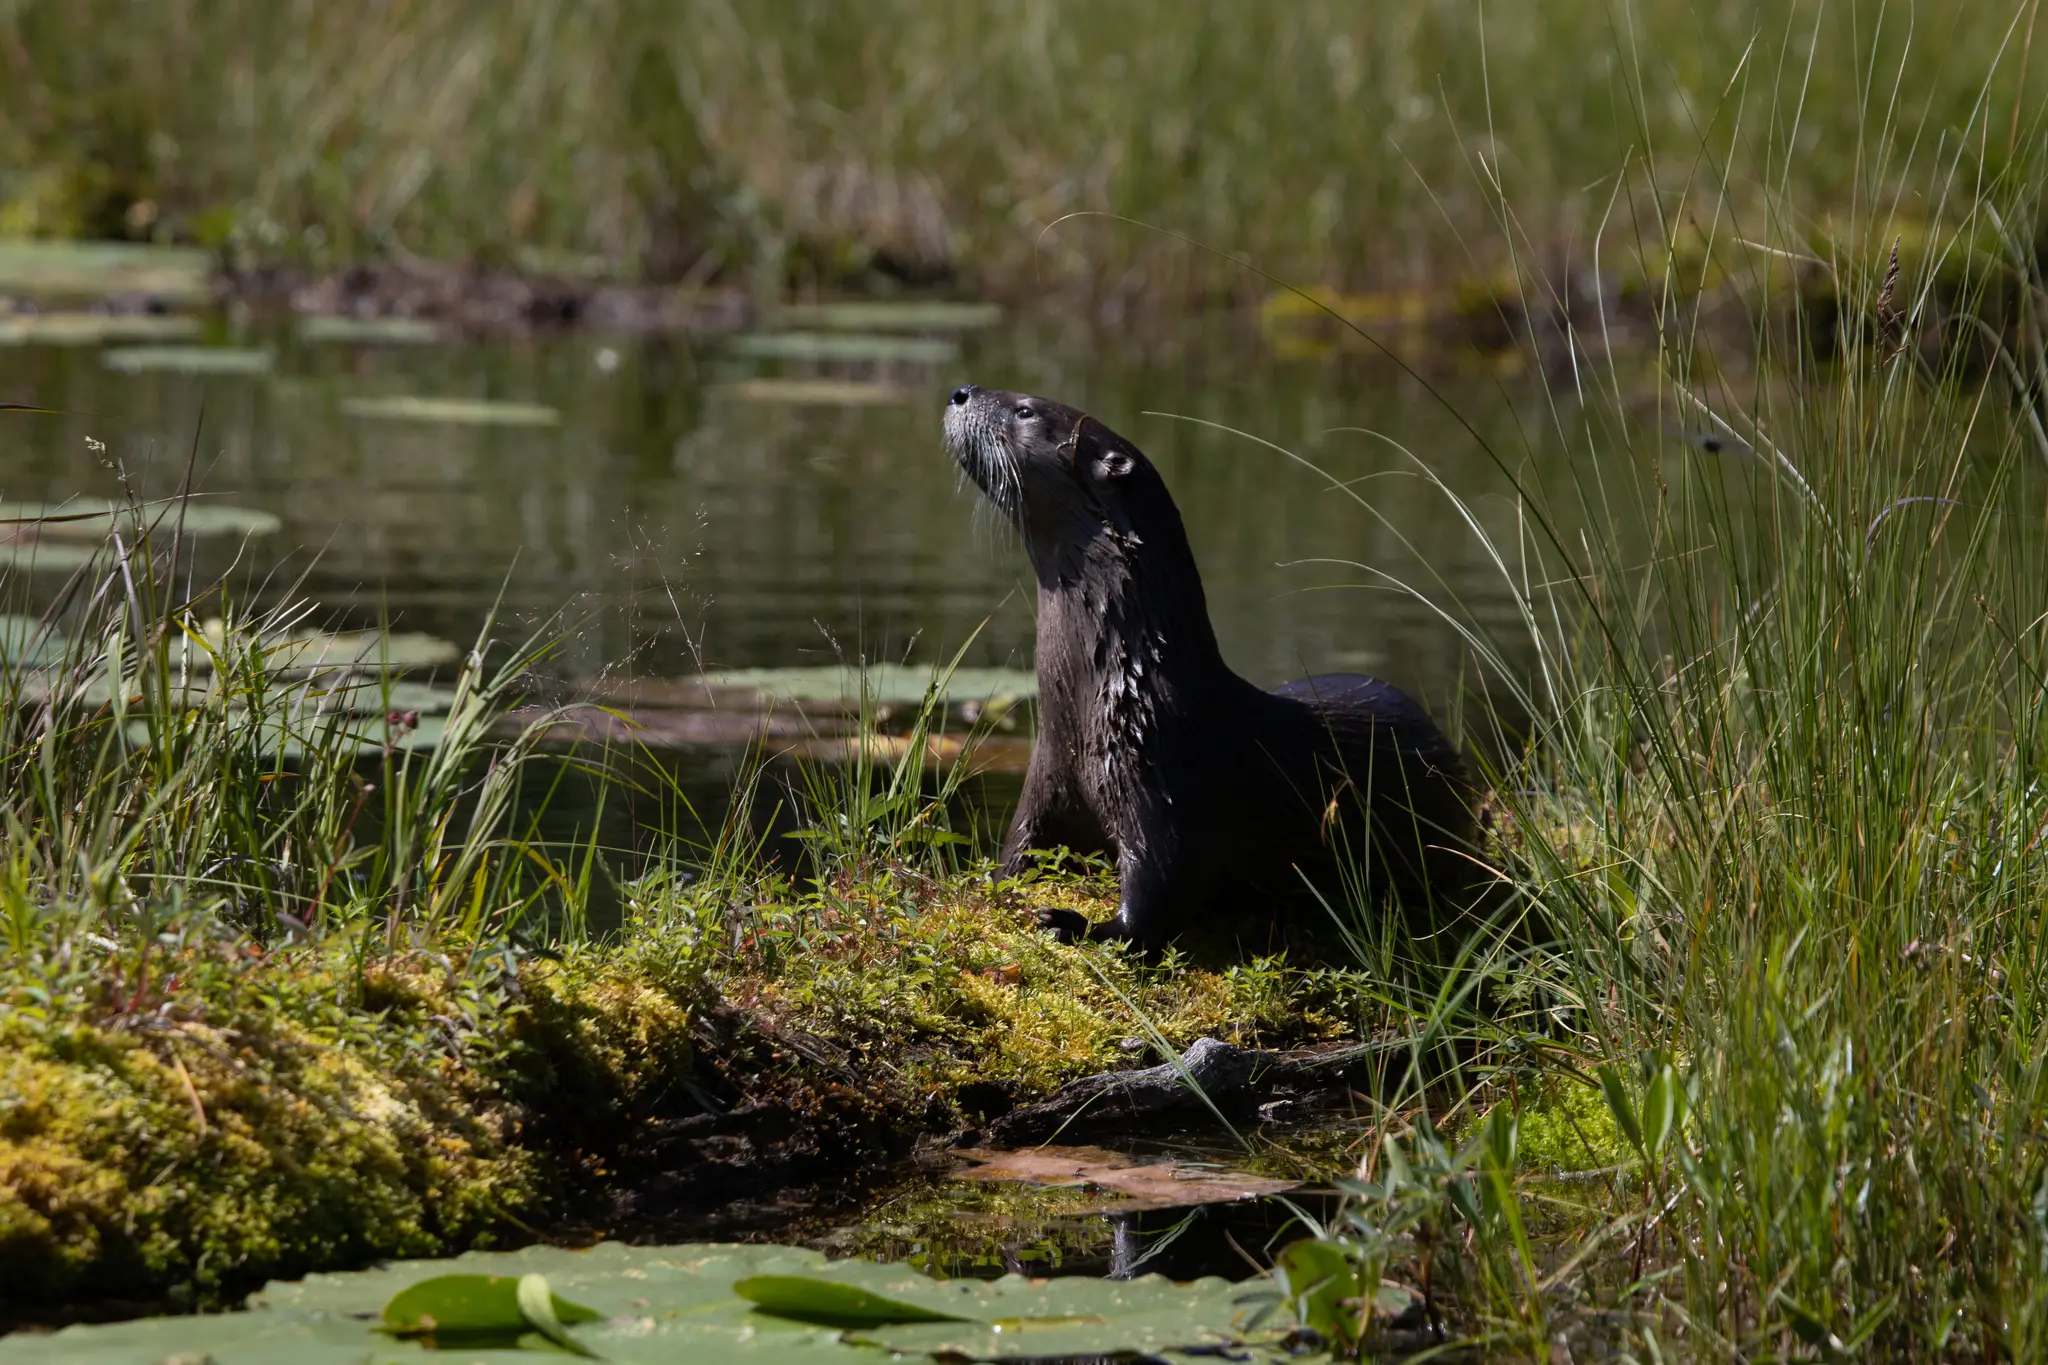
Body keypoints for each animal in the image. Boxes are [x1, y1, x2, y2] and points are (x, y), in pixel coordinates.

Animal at [943, 384, 1483, 956]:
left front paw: (1076, 924)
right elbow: (1019, 851)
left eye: (1025, 409)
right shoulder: (1047, 776)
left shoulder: (1166, 787)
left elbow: (1157, 899)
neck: (1116, 693)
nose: (961, 392)